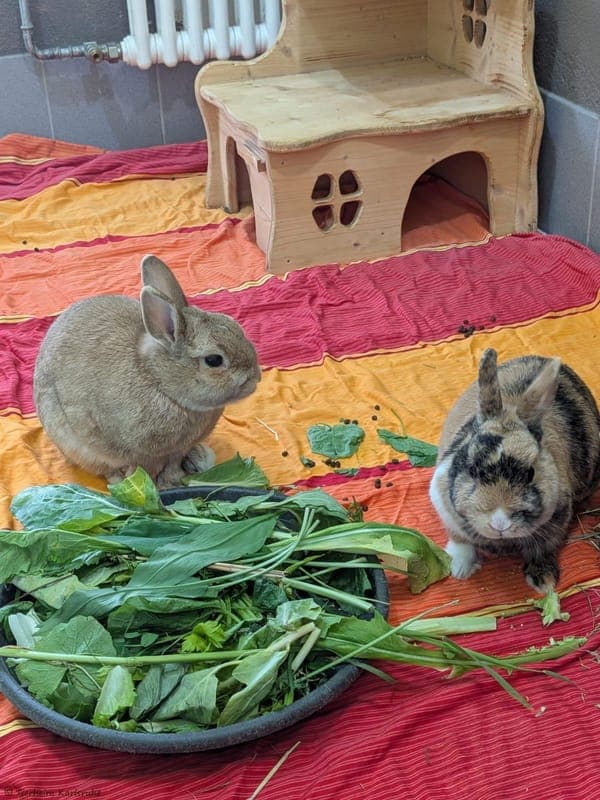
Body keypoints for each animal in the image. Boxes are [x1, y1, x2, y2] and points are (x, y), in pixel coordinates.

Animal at [33, 254, 261, 488]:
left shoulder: (176, 450)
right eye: (214, 360)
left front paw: (173, 480)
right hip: (73, 443)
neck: (158, 380)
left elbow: (173, 465)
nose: (255, 379)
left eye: (234, 324)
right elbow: (147, 470)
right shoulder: (144, 455)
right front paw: (157, 486)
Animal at [429, 348, 600, 593]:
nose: (500, 523)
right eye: (471, 468)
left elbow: (542, 551)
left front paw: (544, 583)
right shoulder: (445, 509)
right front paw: (459, 569)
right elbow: (460, 541)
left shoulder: (555, 527)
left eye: (530, 473)